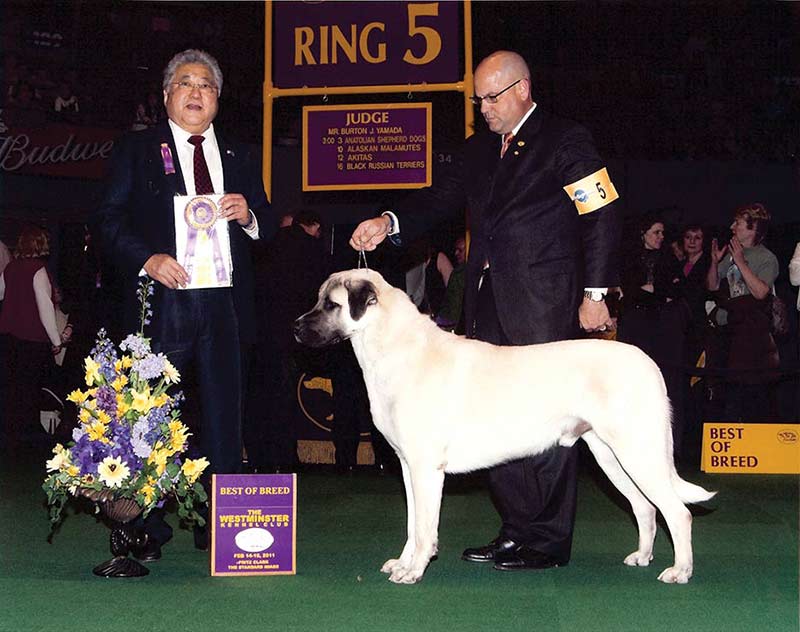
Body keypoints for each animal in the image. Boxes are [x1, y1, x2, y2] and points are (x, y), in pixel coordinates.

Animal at [296, 270, 720, 584]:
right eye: (318, 300)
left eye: (331, 304)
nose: (296, 328)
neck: (392, 347)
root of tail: (649, 364)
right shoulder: (407, 466)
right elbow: (413, 523)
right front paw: (403, 564)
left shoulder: (425, 468)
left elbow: (424, 528)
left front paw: (413, 571)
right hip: (611, 455)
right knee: (646, 507)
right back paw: (642, 557)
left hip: (637, 451)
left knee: (677, 512)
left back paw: (680, 571)